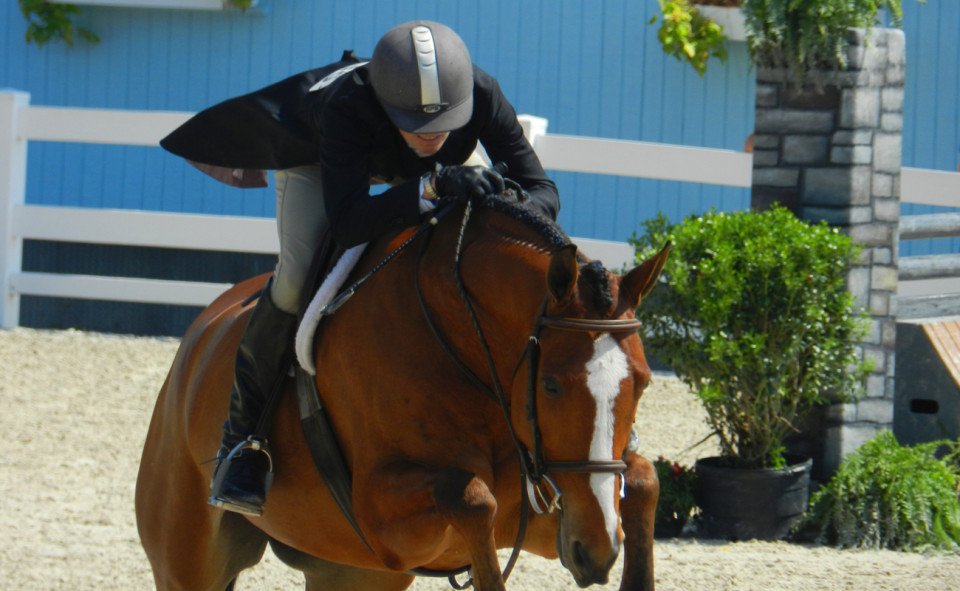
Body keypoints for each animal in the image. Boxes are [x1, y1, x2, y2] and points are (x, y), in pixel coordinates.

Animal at [135, 194, 669, 591]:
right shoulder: (384, 522)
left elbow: (644, 481)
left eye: (643, 383)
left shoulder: (552, 507)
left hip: (353, 573)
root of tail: (201, 332)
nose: (597, 552)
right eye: (551, 385)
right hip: (190, 555)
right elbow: (471, 496)